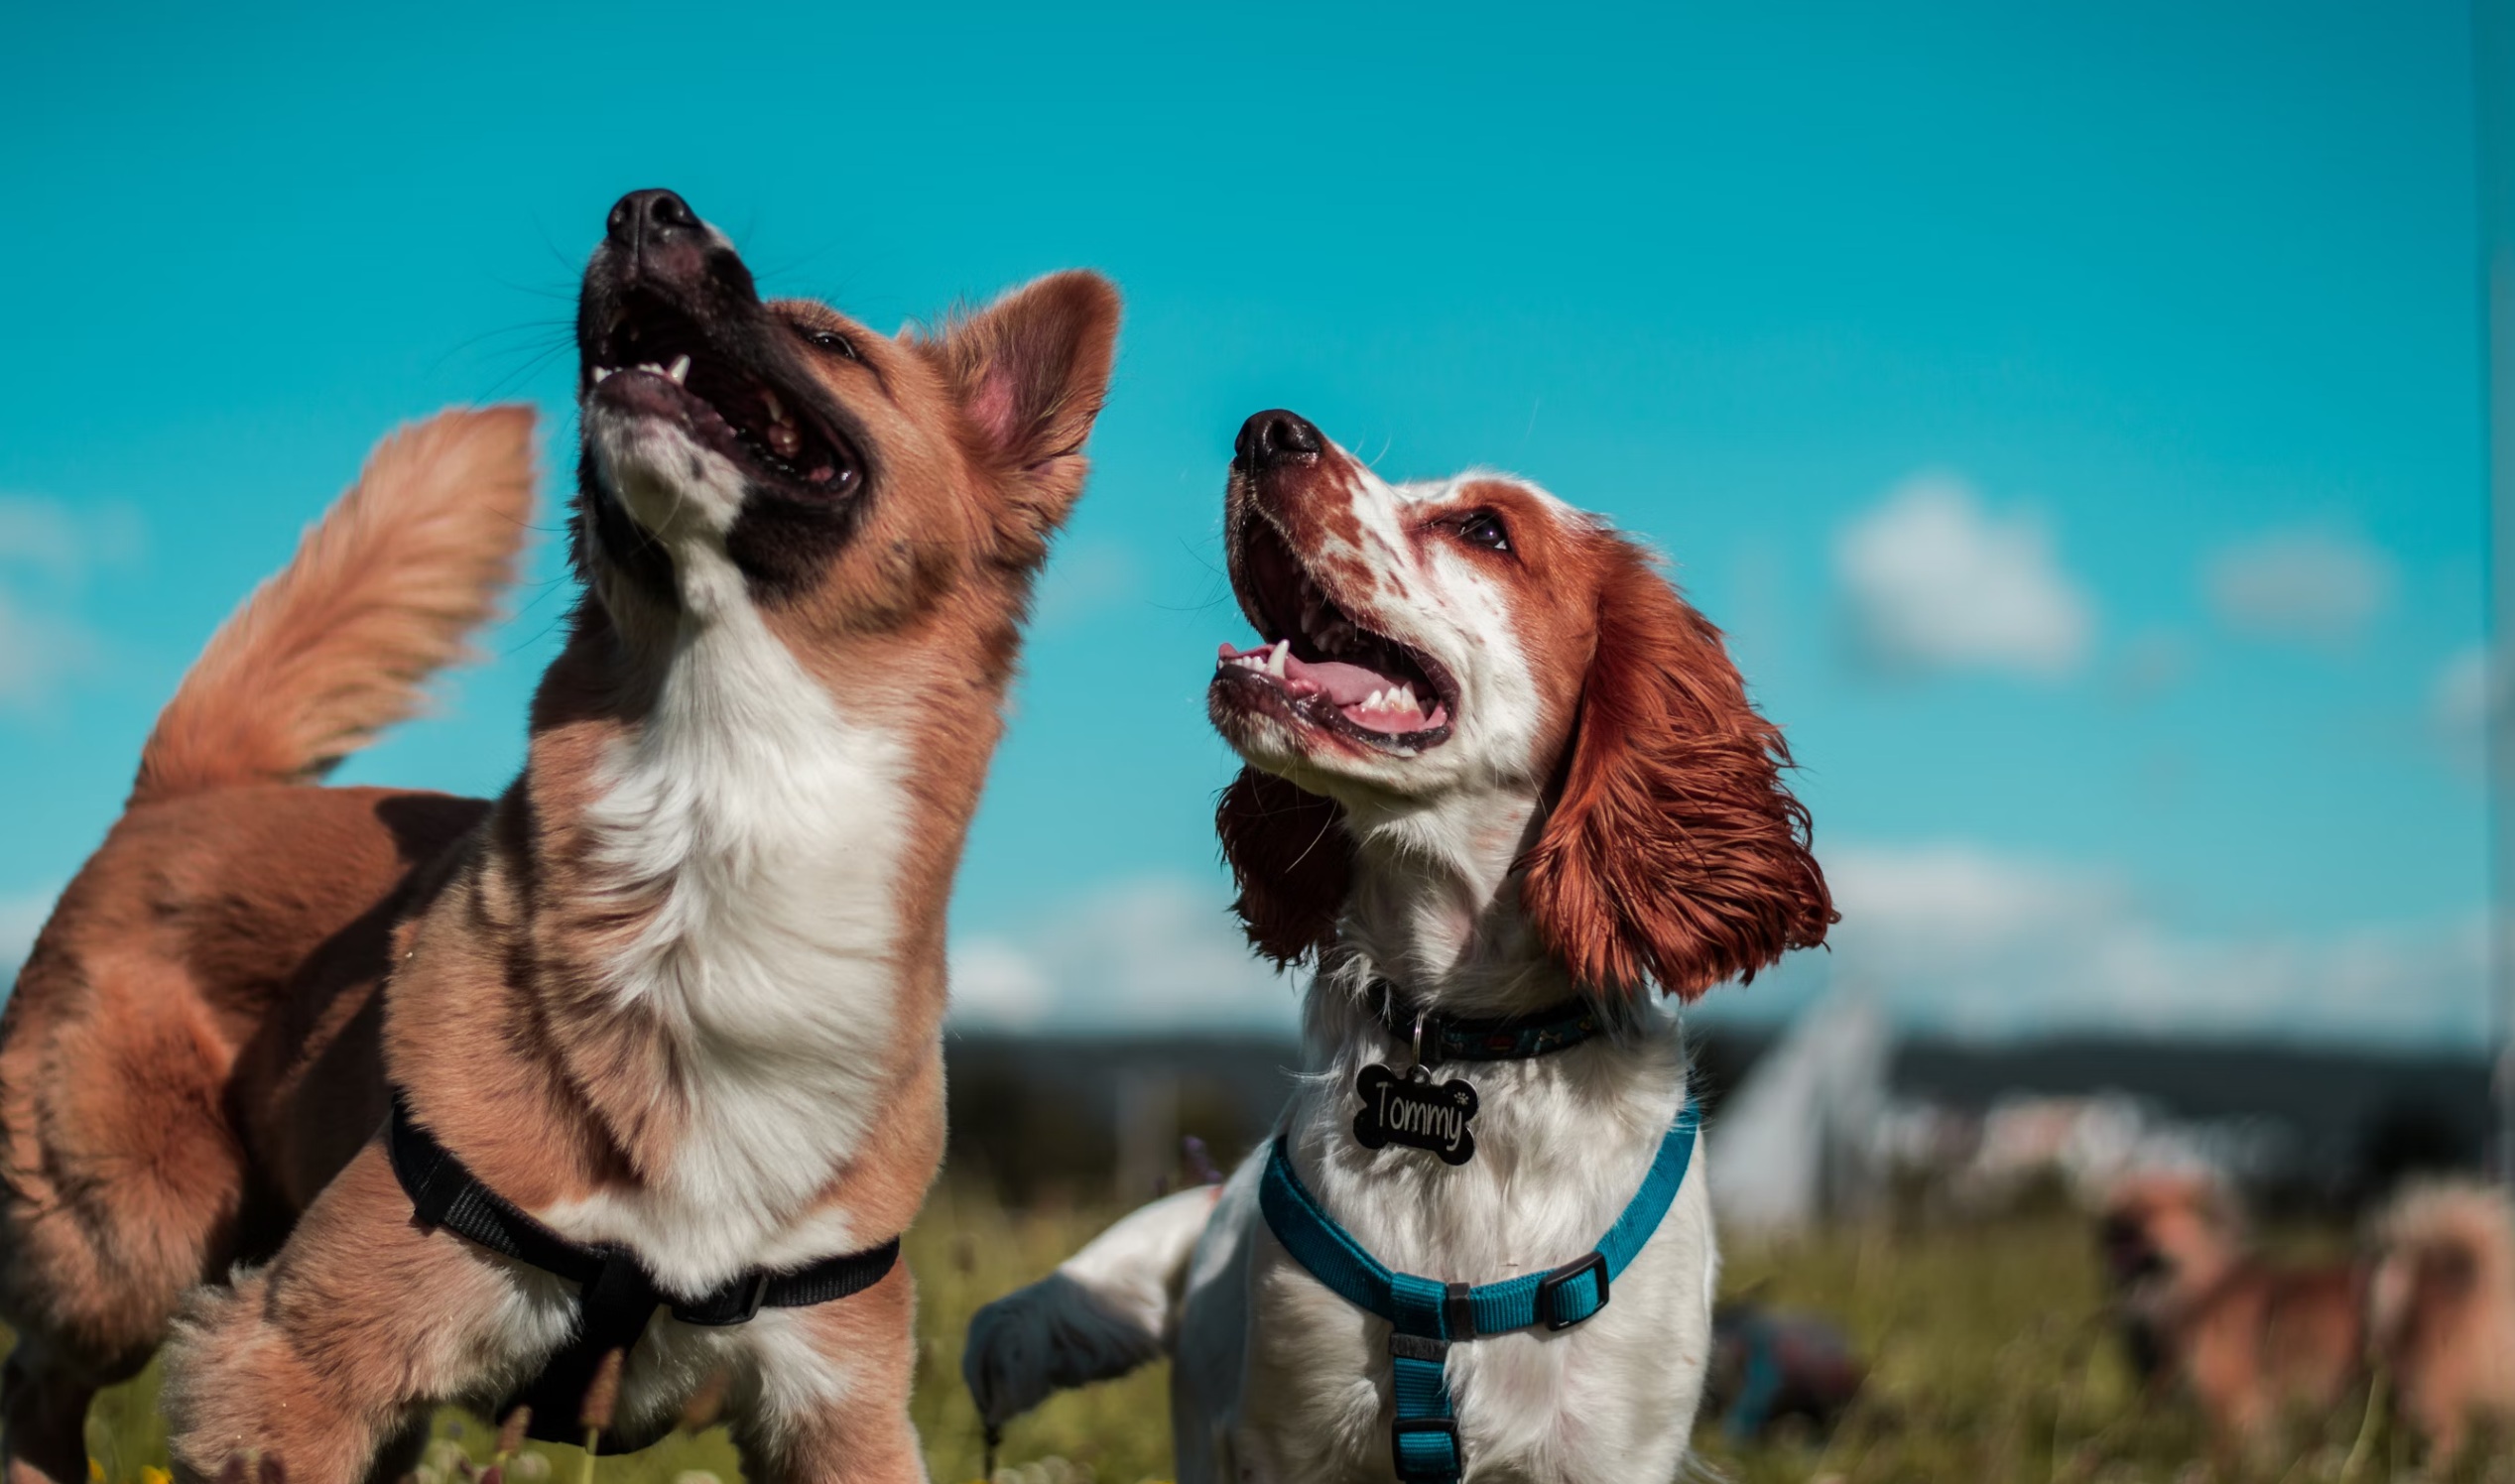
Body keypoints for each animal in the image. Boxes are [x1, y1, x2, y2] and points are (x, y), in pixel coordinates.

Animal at [0, 188, 1121, 1484]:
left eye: (828, 343)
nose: (646, 207)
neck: (723, 792)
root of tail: (190, 788)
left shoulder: (842, 1405)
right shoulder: (292, 1358)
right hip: (130, 1248)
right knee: (39, 1377)